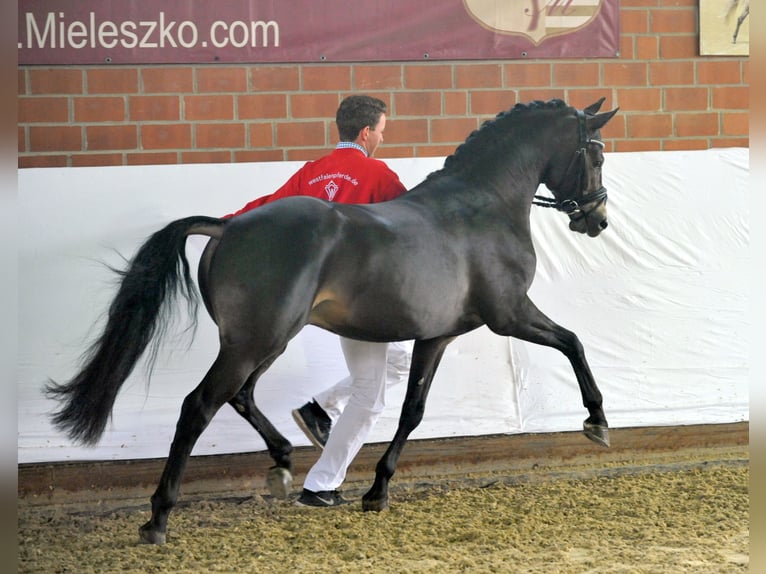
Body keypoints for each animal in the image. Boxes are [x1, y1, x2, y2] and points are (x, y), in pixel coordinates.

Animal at [46, 97, 619, 545]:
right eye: (595, 153)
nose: (597, 220)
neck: (482, 205)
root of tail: (229, 227)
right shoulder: (509, 315)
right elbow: (573, 342)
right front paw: (596, 420)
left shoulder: (437, 335)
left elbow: (411, 411)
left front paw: (377, 491)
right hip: (256, 341)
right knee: (199, 406)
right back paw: (158, 518)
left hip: (263, 341)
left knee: (241, 396)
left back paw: (285, 462)